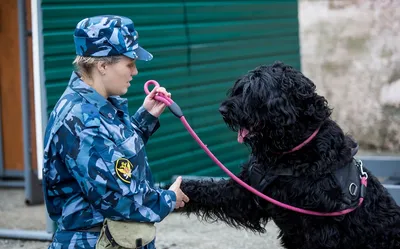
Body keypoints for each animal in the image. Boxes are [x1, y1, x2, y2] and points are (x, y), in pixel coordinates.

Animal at [181, 61, 400, 249]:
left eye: (255, 92)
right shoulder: (244, 193)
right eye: (239, 89)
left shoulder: (322, 229)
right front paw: (180, 189)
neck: (289, 152)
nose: (222, 109)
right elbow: (208, 190)